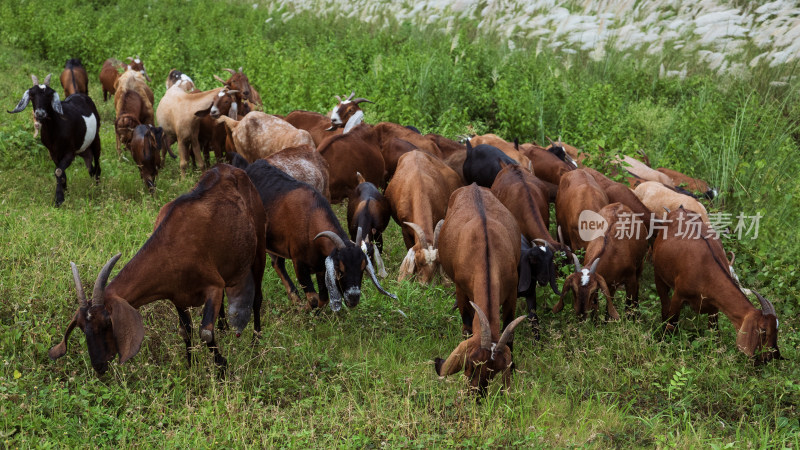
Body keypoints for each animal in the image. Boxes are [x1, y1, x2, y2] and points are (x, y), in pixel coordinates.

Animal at [8, 74, 101, 207]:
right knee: (90, 167)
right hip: (84, 149)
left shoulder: (69, 152)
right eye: (32, 95)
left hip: (96, 139)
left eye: (49, 95)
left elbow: (58, 171)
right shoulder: (53, 152)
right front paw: (65, 191)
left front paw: (59, 199)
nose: (40, 113)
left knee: (97, 165)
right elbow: (61, 172)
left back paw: (98, 188)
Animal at [48, 165, 268, 376]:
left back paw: (256, 340)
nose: (99, 366)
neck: (171, 247)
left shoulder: (213, 285)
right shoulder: (178, 296)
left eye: (107, 323)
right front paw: (191, 366)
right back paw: (224, 328)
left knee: (257, 298)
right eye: (81, 327)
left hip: (259, 247)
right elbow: (185, 331)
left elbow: (205, 333)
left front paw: (222, 367)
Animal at [434, 185, 528, 396]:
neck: (485, 252)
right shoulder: (461, 290)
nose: (476, 395)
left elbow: (509, 330)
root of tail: (473, 185)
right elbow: (467, 328)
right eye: (469, 363)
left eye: (495, 371)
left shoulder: (511, 292)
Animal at [648, 209, 780, 364]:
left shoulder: (714, 306)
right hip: (658, 274)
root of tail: (679, 209)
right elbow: (672, 322)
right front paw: (664, 345)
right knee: (664, 305)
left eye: (777, 330)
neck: (707, 270)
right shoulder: (679, 295)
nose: (774, 356)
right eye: (763, 330)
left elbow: (715, 332)